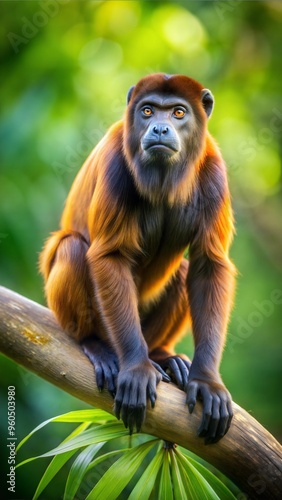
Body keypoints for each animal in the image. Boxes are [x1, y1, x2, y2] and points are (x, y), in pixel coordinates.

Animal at [40, 72, 236, 444]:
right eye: (147, 110)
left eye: (178, 112)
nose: (159, 128)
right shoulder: (116, 161)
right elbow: (110, 255)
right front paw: (136, 367)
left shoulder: (215, 169)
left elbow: (209, 264)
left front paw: (207, 381)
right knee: (72, 247)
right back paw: (97, 345)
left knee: (184, 270)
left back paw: (165, 356)